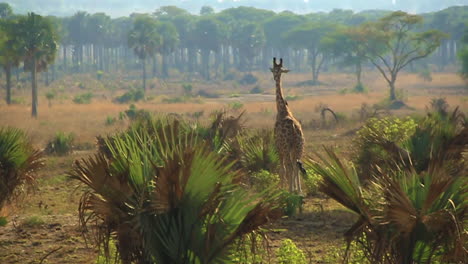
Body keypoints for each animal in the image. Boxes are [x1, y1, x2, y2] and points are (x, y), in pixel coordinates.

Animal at [268, 57, 306, 194]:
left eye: (277, 70)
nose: (275, 76)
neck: (282, 110)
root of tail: (294, 129)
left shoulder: (278, 145)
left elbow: (282, 168)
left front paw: (282, 188)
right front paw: (293, 188)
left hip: (285, 146)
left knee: (290, 166)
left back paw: (290, 190)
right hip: (299, 146)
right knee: (297, 164)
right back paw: (298, 190)